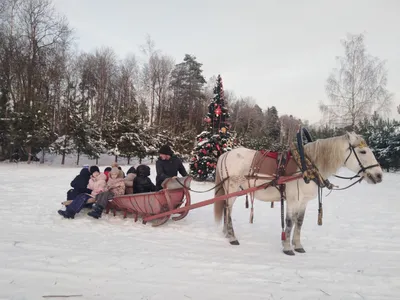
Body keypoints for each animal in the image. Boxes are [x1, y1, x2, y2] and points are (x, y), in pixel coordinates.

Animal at [214, 132, 382, 255]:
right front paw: (287, 247)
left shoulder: (303, 201)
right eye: (362, 151)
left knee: (226, 210)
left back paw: (226, 233)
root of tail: (224, 155)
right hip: (232, 189)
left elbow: (299, 222)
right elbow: (289, 222)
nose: (379, 175)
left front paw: (298, 245)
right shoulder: (293, 200)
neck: (306, 167)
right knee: (228, 210)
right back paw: (232, 237)